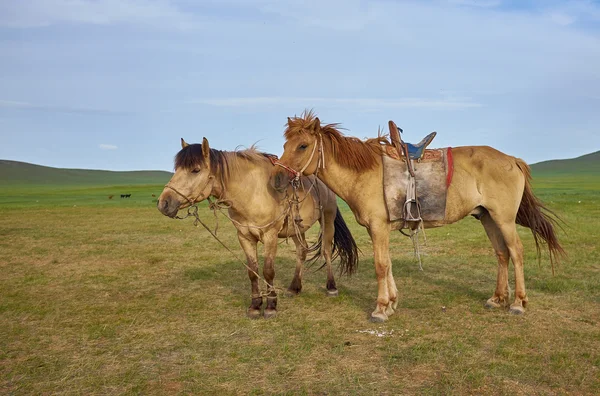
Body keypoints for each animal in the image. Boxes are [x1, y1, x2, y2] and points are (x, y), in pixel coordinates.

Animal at [157, 138, 358, 320]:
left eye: (196, 170)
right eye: (177, 169)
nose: (163, 203)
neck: (251, 192)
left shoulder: (270, 236)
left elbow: (268, 271)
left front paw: (270, 306)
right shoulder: (244, 237)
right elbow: (252, 271)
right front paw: (255, 306)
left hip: (327, 219)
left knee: (326, 250)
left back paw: (331, 287)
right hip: (296, 228)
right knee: (302, 252)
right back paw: (294, 287)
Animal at [270, 110, 564, 322]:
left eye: (303, 146)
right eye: (285, 144)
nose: (277, 178)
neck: (365, 173)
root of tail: (513, 159)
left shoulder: (378, 227)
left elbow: (380, 266)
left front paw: (380, 308)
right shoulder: (379, 229)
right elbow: (387, 264)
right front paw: (391, 303)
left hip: (503, 219)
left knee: (516, 252)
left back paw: (518, 303)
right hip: (488, 218)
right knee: (502, 254)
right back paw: (497, 298)